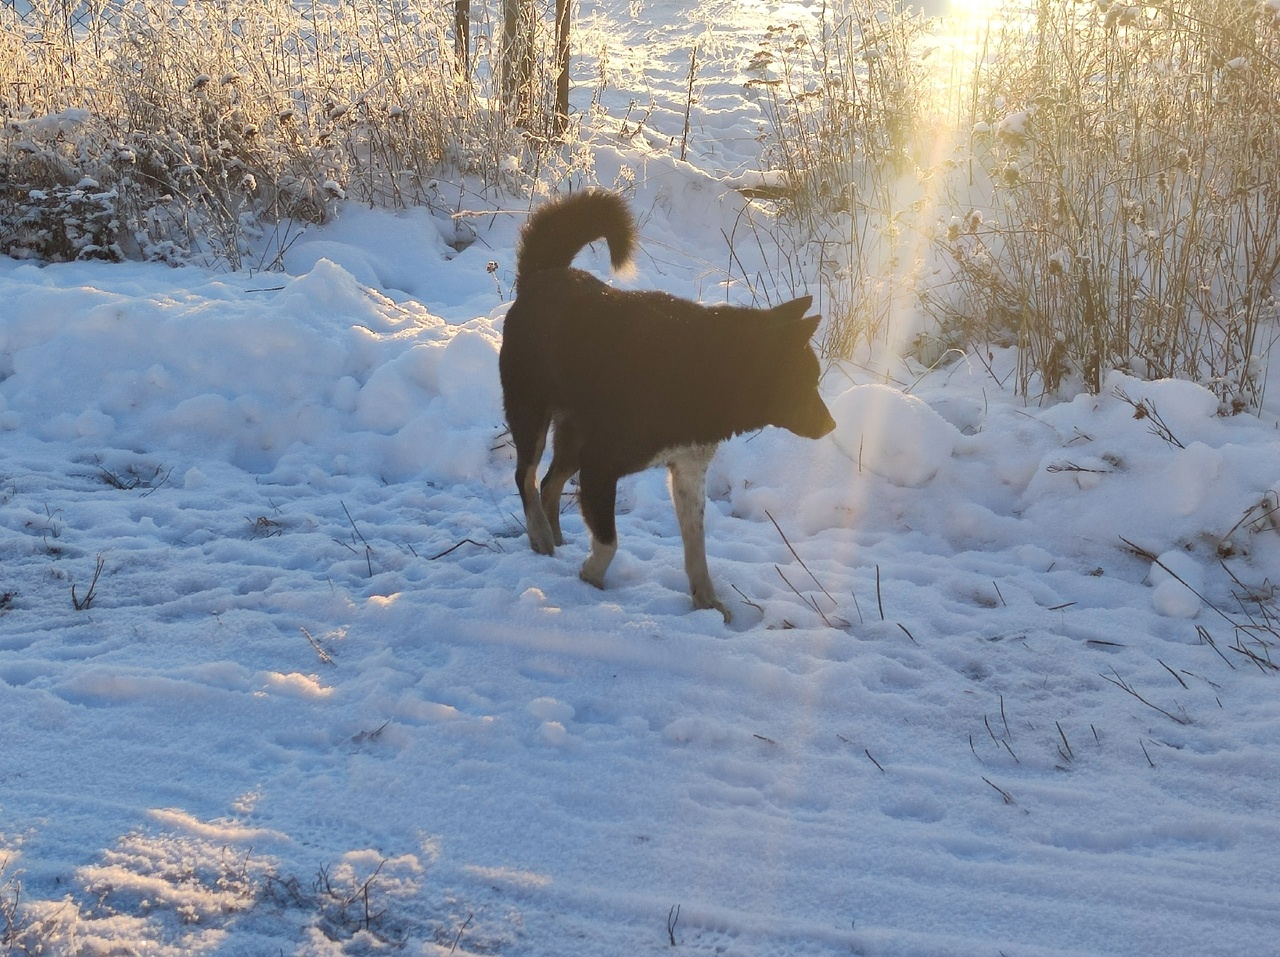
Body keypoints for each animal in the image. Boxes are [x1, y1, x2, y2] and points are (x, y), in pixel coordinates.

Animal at [494, 190, 834, 621]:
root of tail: (543, 275)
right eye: (806, 382)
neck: (705, 371)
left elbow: (696, 547)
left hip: (572, 439)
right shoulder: (601, 466)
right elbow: (609, 541)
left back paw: (555, 537)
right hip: (532, 416)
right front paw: (590, 578)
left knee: (549, 482)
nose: (831, 426)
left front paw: (706, 602)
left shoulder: (687, 472)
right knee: (526, 477)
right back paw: (540, 537)